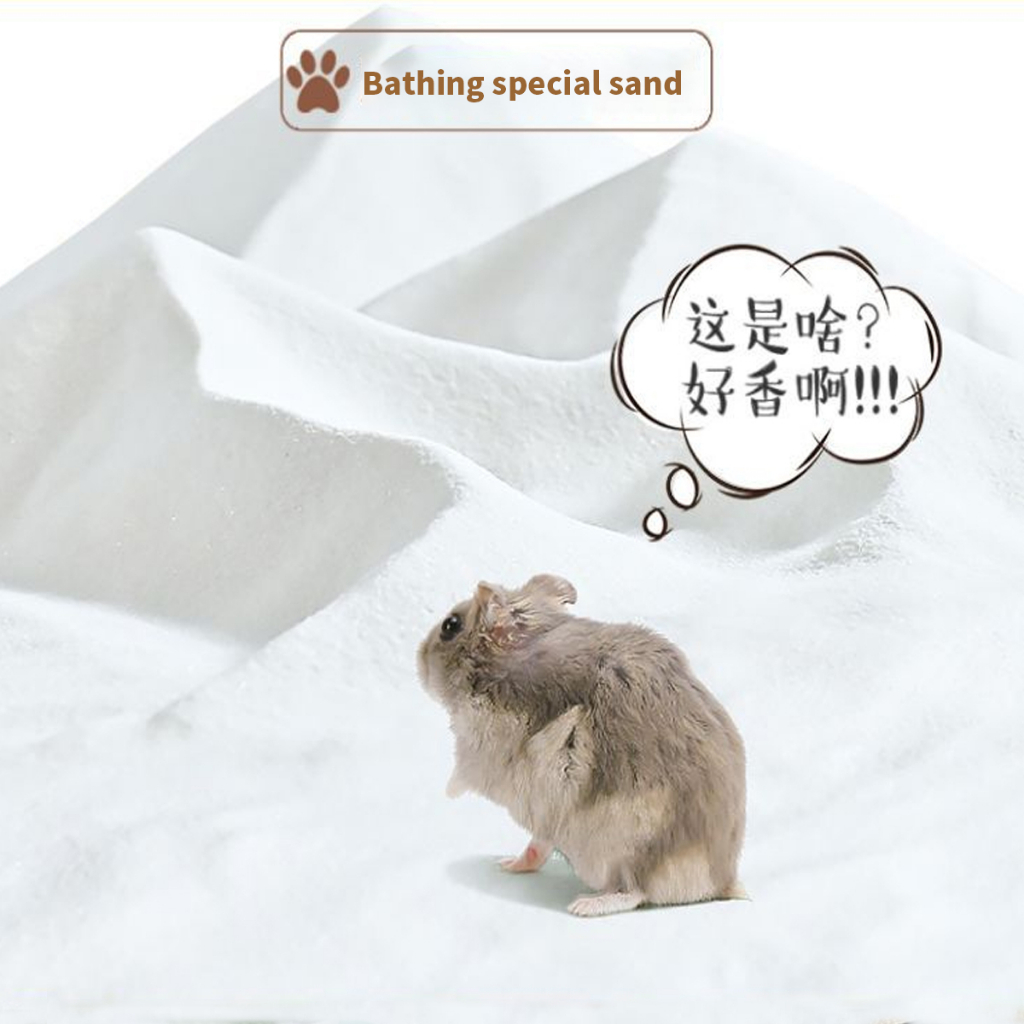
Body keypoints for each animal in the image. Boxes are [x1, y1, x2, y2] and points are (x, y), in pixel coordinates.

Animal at [417, 574, 746, 917]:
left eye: (450, 626)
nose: (419, 656)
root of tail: (720, 883)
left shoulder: (478, 751)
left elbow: (459, 776)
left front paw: (447, 792)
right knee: (540, 847)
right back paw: (506, 864)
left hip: (623, 843)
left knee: (634, 891)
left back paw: (583, 905)